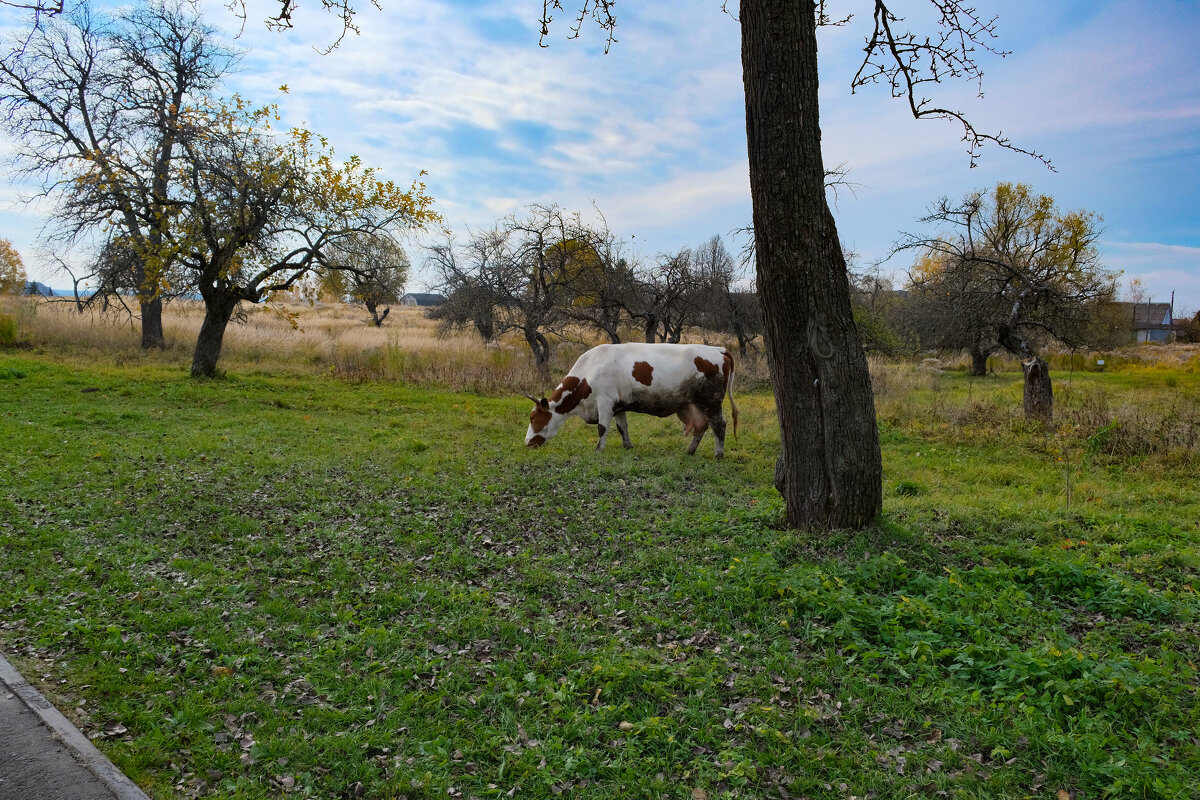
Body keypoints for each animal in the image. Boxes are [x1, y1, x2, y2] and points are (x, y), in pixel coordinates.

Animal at [525, 343, 739, 455]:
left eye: (533, 418)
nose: (527, 443)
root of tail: (717, 349)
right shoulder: (618, 406)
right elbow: (622, 427)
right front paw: (627, 446)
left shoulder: (605, 401)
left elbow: (602, 427)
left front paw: (598, 449)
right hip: (694, 404)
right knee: (701, 426)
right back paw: (690, 450)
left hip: (711, 402)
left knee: (719, 424)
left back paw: (718, 453)